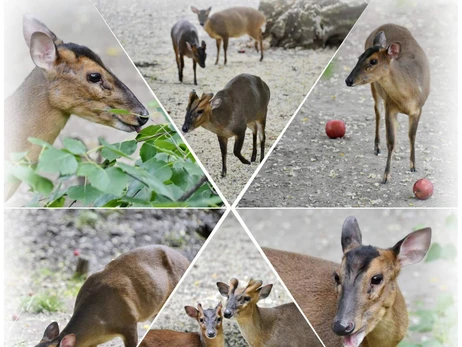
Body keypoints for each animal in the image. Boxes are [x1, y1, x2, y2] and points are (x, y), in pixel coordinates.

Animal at [344, 23, 432, 184]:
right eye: (359, 57)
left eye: (373, 61)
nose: (348, 80)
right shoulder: (390, 107)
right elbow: (390, 141)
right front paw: (385, 176)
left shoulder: (418, 109)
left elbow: (412, 136)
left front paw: (413, 166)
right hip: (375, 87)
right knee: (377, 112)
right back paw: (377, 147)